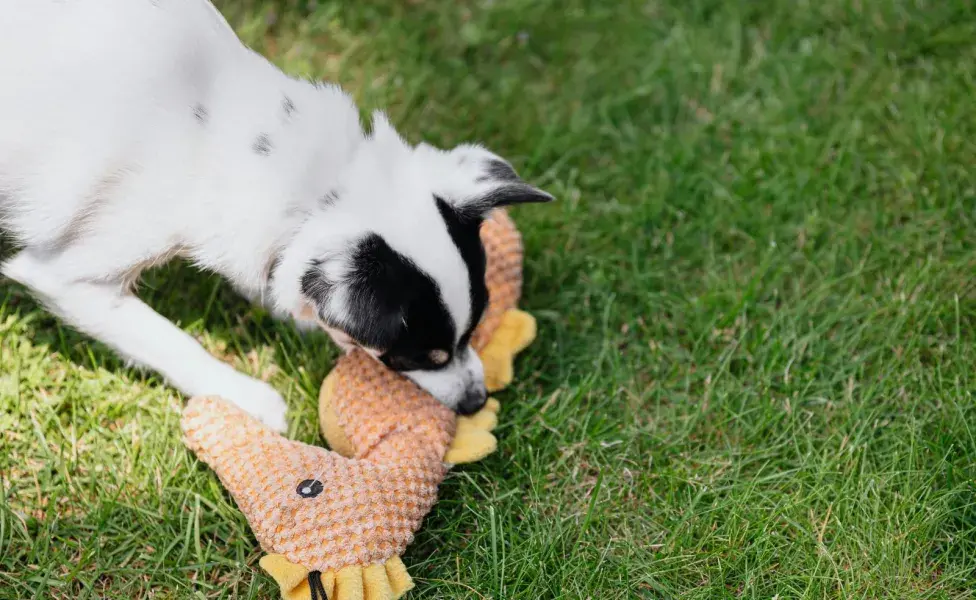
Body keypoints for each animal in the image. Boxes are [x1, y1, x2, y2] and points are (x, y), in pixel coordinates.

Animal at [0, 0, 548, 432]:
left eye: (475, 329)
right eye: (420, 356)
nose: (477, 401)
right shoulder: (70, 278)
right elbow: (170, 341)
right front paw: (247, 399)